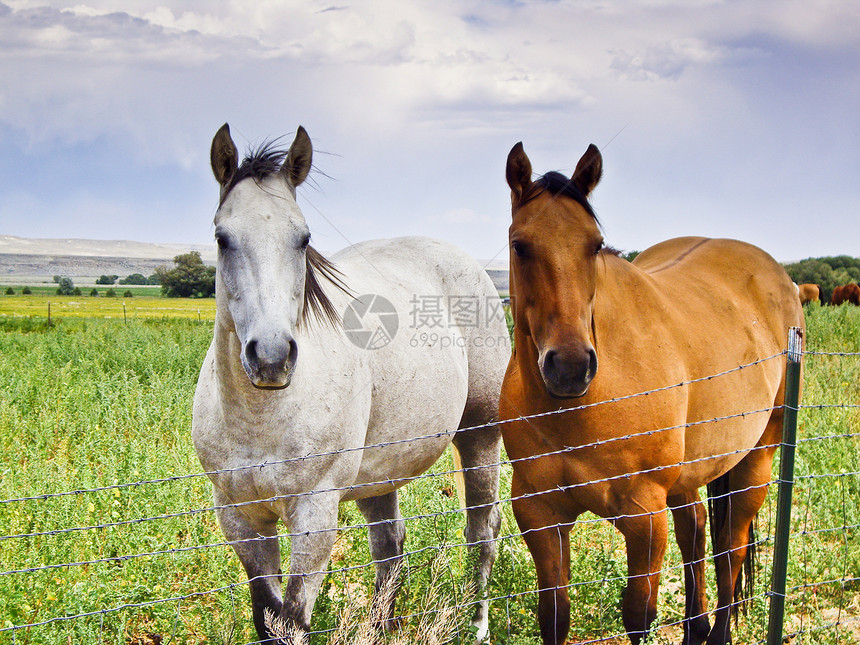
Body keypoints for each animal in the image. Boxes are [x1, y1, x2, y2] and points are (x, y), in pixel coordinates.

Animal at [191, 123, 510, 640]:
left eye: (303, 238)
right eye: (222, 238)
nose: (272, 357)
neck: (260, 417)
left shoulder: (314, 517)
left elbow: (292, 619)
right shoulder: (240, 518)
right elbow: (266, 615)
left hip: (480, 435)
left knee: (482, 529)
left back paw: (477, 624)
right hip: (379, 473)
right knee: (390, 547)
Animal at [500, 142, 804, 644]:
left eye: (595, 245)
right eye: (519, 245)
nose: (570, 367)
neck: (577, 408)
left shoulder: (644, 516)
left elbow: (639, 615)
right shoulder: (539, 511)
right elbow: (554, 615)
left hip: (757, 458)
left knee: (731, 550)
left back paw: (717, 631)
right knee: (696, 530)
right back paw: (697, 628)